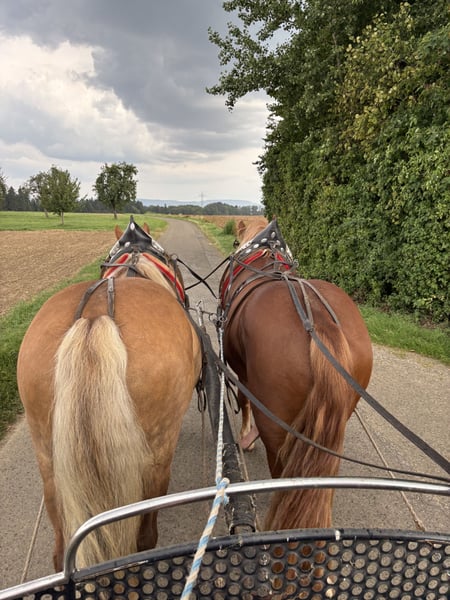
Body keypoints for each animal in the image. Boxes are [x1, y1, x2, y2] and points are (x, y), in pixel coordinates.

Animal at [219, 217, 373, 531]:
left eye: (235, 241)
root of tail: (319, 321)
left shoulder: (242, 373)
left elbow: (244, 400)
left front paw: (246, 437)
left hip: (276, 428)